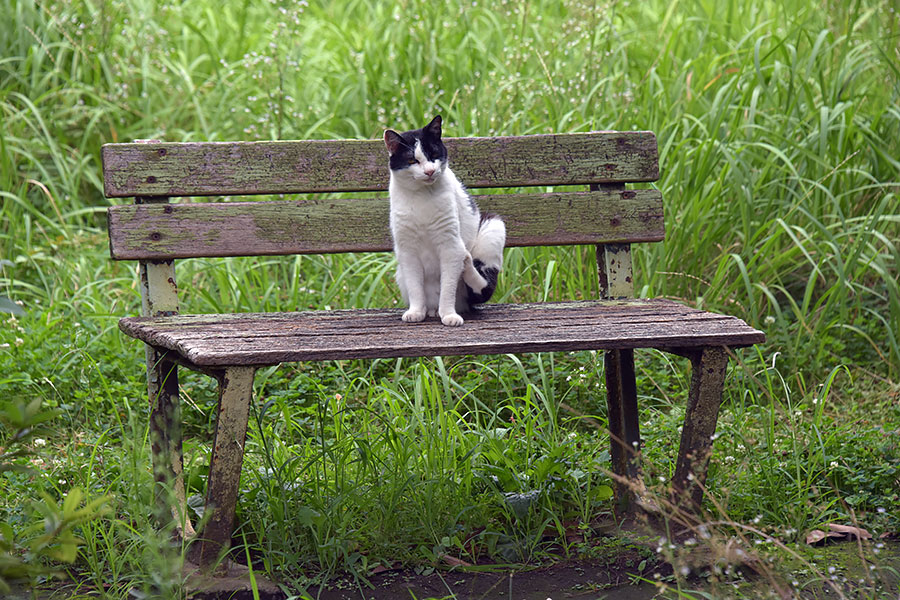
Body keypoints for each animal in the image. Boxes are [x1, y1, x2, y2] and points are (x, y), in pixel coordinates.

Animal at [382, 114, 502, 326]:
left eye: (433, 154)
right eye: (412, 160)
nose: (430, 171)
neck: (421, 196)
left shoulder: (449, 246)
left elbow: (447, 288)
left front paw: (448, 315)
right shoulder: (407, 250)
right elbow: (415, 287)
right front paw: (416, 312)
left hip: (493, 225)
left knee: (482, 288)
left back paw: (466, 263)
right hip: (400, 274)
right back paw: (429, 310)